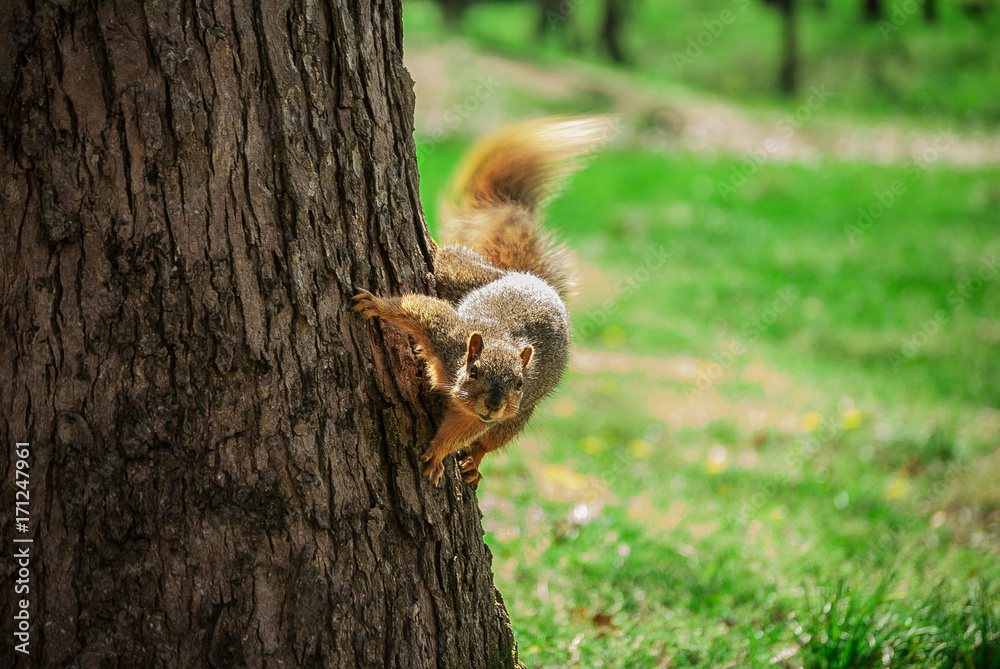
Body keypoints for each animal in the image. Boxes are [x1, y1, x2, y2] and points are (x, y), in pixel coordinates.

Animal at [353, 117, 613, 488]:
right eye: (474, 370)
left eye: (520, 382)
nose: (492, 404)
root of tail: (536, 280)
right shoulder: (448, 334)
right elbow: (420, 309)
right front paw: (378, 305)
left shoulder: (489, 412)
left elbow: (465, 430)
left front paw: (439, 453)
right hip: (463, 277)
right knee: (449, 261)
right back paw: (435, 246)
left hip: (517, 417)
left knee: (494, 439)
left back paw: (474, 462)